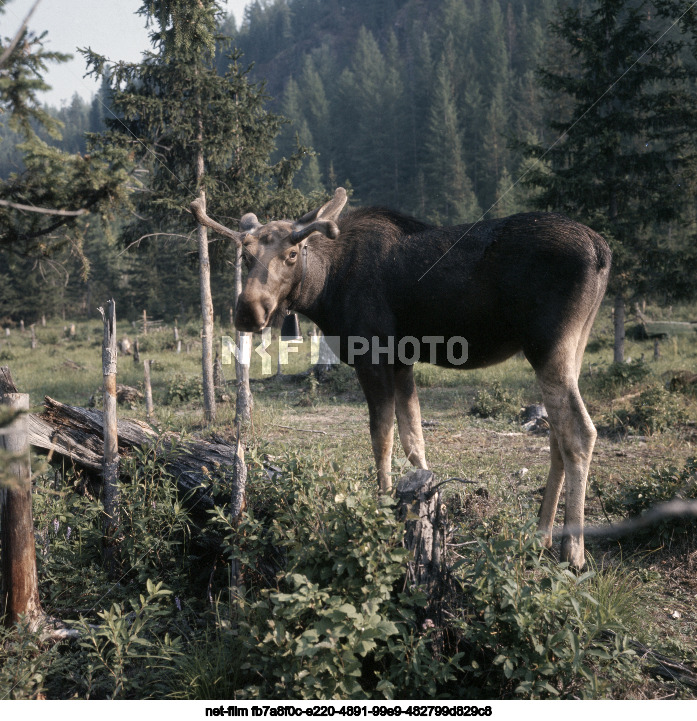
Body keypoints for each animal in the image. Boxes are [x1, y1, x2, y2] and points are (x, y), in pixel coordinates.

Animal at [190, 190, 608, 568]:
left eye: (292, 254)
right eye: (245, 256)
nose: (248, 311)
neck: (323, 292)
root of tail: (602, 251)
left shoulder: (372, 355)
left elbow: (382, 437)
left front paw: (383, 505)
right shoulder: (402, 360)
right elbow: (413, 440)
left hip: (547, 344)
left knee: (579, 431)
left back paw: (572, 551)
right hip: (572, 346)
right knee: (556, 433)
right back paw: (540, 536)